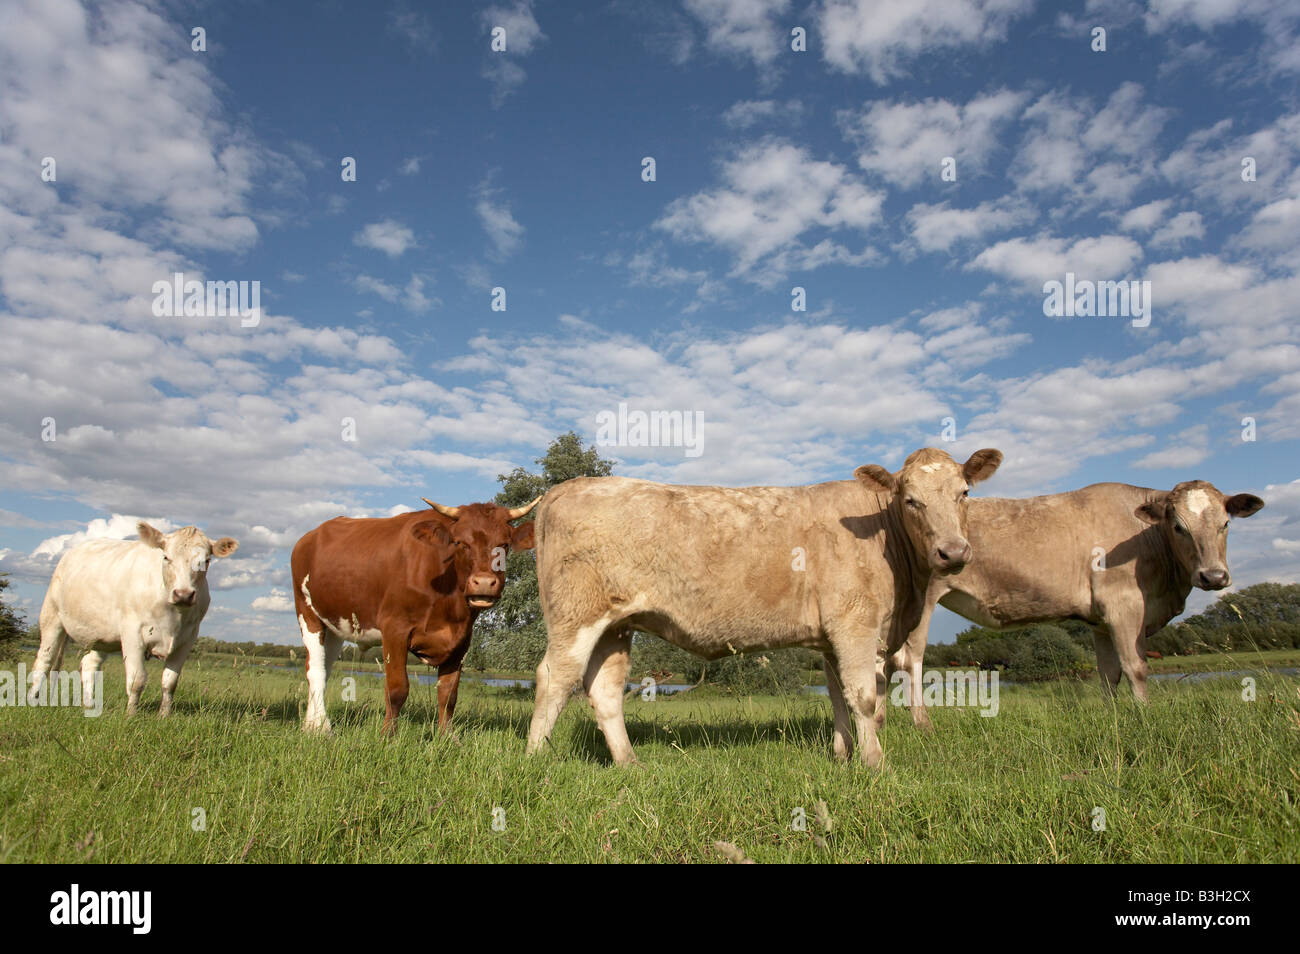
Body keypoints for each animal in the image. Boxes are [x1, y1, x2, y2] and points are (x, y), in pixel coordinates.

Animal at [30, 522, 239, 717]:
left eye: (206, 560)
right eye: (166, 557)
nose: (183, 594)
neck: (173, 615)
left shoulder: (187, 639)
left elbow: (170, 682)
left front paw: (164, 716)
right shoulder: (132, 633)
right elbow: (137, 680)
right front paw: (130, 715)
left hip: (102, 636)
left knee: (89, 664)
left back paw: (89, 705)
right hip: (52, 616)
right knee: (45, 661)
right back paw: (34, 700)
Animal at [293, 496, 538, 738]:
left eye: (504, 545)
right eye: (460, 543)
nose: (484, 583)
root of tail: (309, 537)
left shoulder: (462, 640)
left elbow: (448, 693)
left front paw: (447, 738)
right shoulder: (395, 629)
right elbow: (397, 688)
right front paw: (388, 736)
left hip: (335, 626)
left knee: (324, 668)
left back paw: (311, 724)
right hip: (307, 613)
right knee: (315, 670)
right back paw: (321, 727)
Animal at [522, 447, 998, 769]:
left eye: (964, 493)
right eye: (910, 499)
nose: (953, 551)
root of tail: (566, 487)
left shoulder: (831, 636)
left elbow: (837, 697)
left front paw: (841, 756)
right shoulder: (855, 623)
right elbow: (864, 697)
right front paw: (875, 764)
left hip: (616, 625)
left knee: (604, 689)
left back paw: (629, 763)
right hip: (576, 615)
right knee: (554, 677)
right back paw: (536, 758)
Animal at [878, 480, 1263, 727]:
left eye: (1225, 524)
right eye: (1178, 526)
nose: (1213, 576)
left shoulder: (1102, 622)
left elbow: (1110, 673)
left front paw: (1113, 716)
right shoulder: (1124, 605)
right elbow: (1136, 667)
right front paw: (1146, 715)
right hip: (922, 603)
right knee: (909, 661)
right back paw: (923, 724)